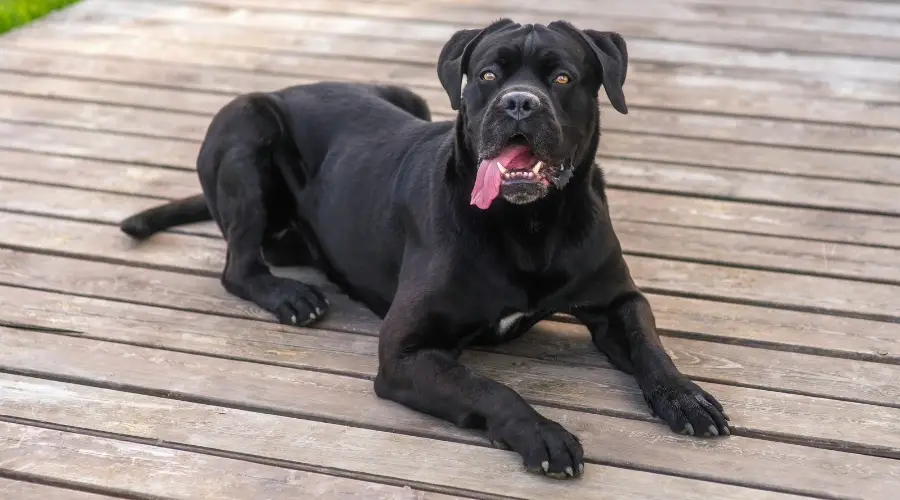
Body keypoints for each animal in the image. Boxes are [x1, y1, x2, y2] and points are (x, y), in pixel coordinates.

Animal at [119, 19, 728, 480]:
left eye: (562, 76)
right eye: (487, 75)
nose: (519, 104)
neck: (530, 224)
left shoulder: (617, 300)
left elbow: (651, 347)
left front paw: (686, 397)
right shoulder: (406, 350)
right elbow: (488, 388)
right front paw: (543, 433)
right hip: (246, 127)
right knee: (239, 265)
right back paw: (291, 296)